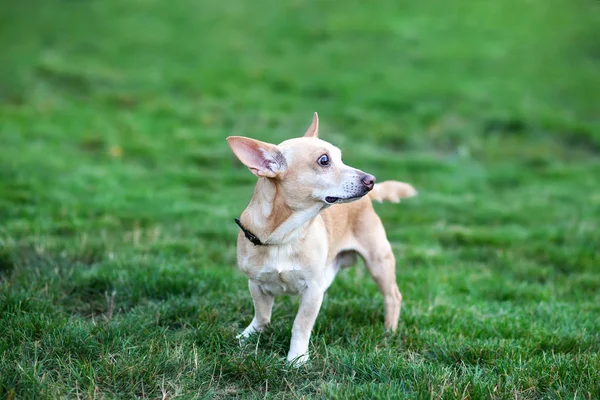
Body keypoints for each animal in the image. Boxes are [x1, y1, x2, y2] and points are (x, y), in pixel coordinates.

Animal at [225, 113, 418, 366]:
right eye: (324, 160)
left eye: (341, 158)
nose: (371, 179)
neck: (285, 236)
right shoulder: (256, 285)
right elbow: (262, 315)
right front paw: (249, 336)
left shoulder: (312, 291)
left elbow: (301, 325)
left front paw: (297, 358)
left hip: (379, 262)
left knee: (393, 296)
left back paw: (389, 331)